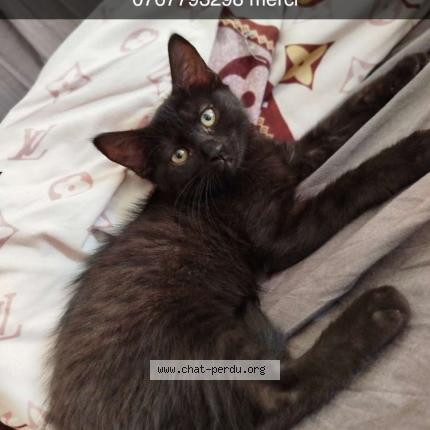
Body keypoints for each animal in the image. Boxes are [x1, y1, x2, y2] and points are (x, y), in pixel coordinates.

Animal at [47, 34, 430, 430]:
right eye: (179, 155)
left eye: (208, 116)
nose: (215, 150)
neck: (243, 173)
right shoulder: (280, 238)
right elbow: (347, 188)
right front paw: (412, 151)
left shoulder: (288, 157)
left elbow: (338, 119)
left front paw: (407, 66)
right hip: (199, 336)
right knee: (280, 394)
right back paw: (378, 312)